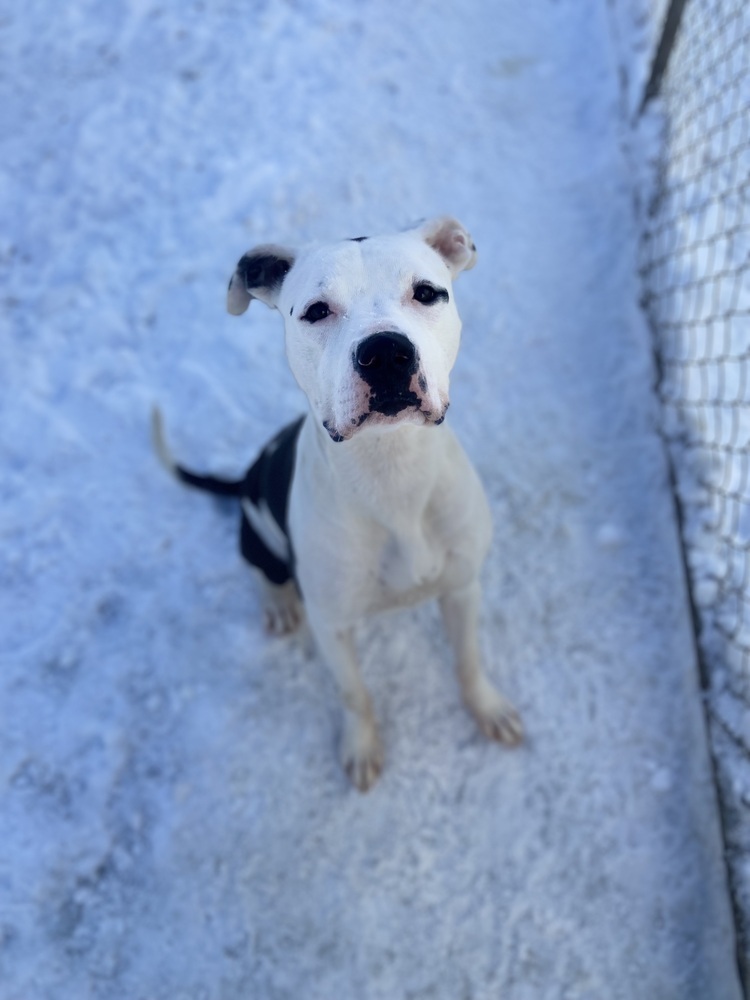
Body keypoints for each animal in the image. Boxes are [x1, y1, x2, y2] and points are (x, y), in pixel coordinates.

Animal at [154, 217, 524, 788]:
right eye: (315, 310)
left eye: (426, 293)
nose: (387, 352)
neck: (391, 472)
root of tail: (243, 479)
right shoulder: (332, 624)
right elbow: (355, 693)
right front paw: (361, 746)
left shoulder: (463, 587)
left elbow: (468, 660)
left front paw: (487, 708)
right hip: (255, 537)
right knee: (264, 570)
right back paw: (278, 605)